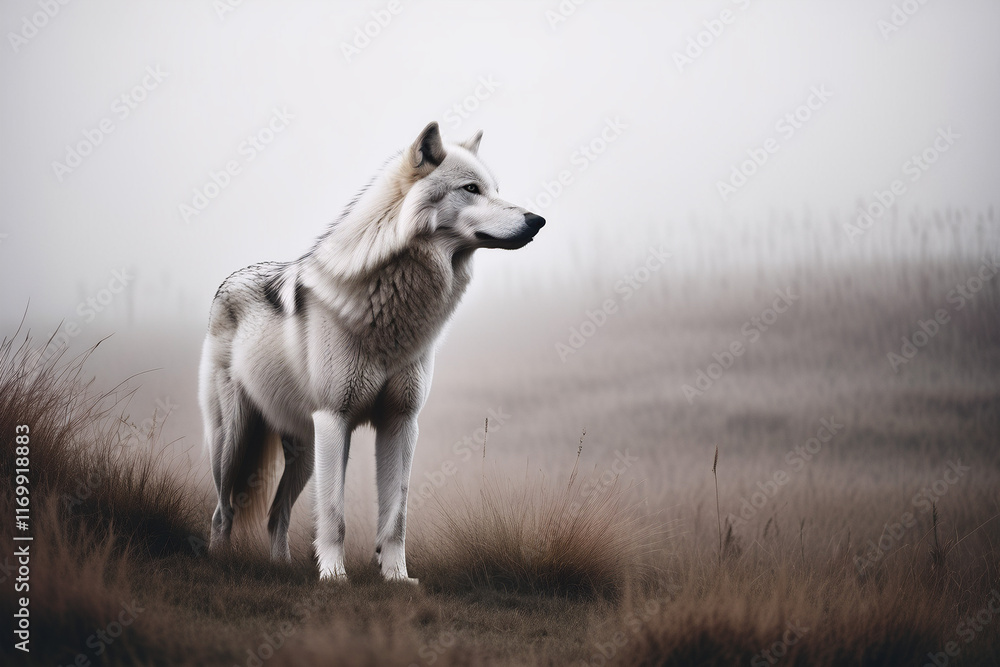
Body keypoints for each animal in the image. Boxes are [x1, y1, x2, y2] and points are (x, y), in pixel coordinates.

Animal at [198, 122, 544, 583]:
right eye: (471, 189)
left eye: (495, 190)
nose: (537, 220)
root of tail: (229, 279)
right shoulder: (335, 421)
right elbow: (334, 515)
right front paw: (334, 578)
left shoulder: (401, 422)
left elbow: (396, 516)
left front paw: (396, 578)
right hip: (235, 442)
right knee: (223, 511)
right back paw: (220, 563)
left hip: (304, 452)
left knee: (275, 516)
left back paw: (283, 568)